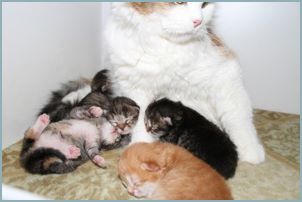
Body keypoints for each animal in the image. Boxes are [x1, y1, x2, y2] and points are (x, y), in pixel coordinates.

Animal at [104, 1, 264, 163]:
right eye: (179, 2)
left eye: (204, 5)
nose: (198, 21)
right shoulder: (134, 87)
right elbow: (141, 121)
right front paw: (140, 147)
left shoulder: (225, 75)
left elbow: (237, 118)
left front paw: (250, 151)